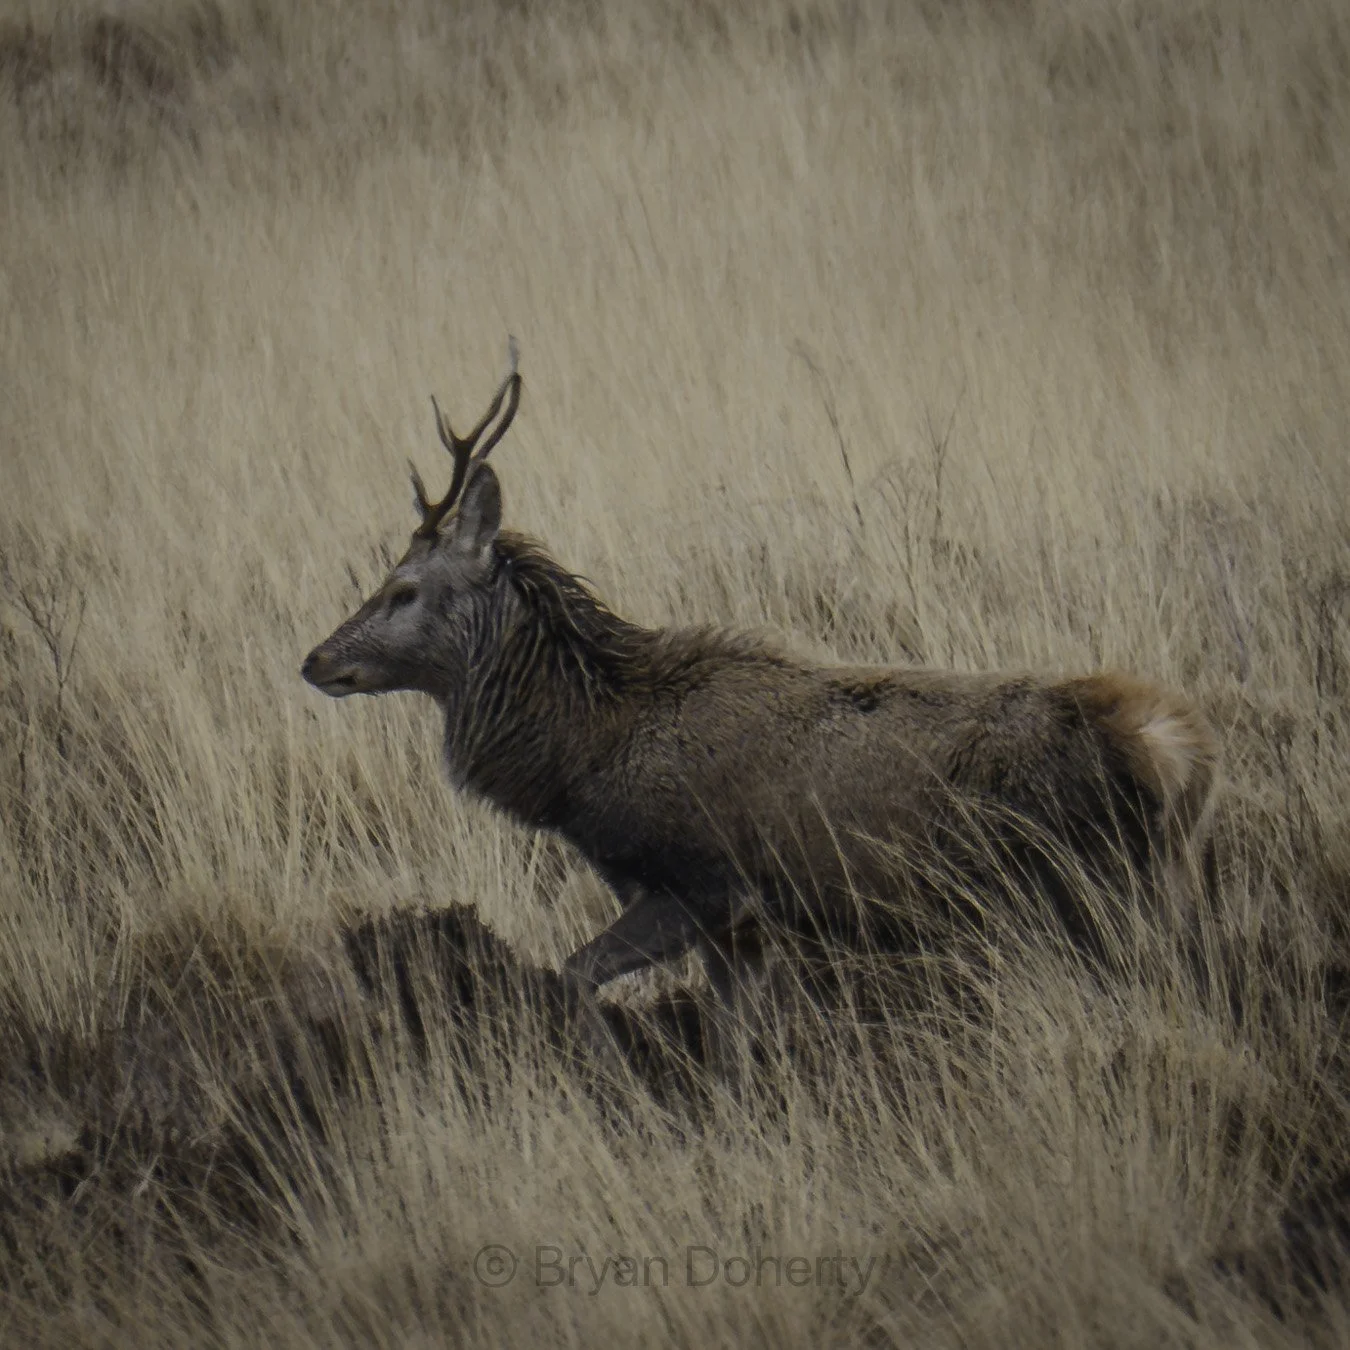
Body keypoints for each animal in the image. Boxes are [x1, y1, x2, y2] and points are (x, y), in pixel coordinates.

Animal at [301, 342, 1219, 1027]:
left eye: (402, 589)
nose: (313, 660)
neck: (586, 756)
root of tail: (1177, 751)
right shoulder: (738, 922)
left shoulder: (694, 881)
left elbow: (577, 977)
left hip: (1078, 889)